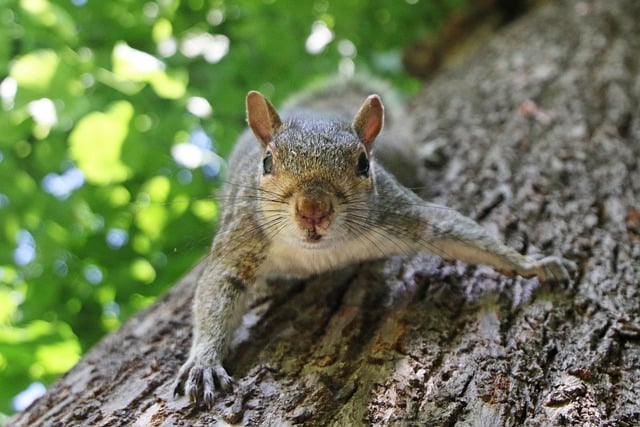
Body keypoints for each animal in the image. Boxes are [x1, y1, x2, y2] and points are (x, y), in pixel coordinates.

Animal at [172, 77, 576, 408]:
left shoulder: (400, 214)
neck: (319, 254)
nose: (312, 209)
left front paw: (532, 264)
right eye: (267, 161)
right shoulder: (243, 235)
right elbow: (218, 287)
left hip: (398, 153)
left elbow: (454, 228)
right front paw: (204, 361)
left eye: (363, 164)